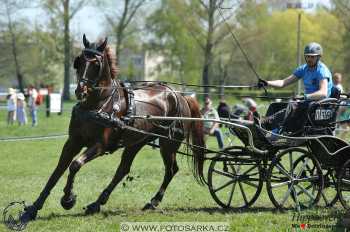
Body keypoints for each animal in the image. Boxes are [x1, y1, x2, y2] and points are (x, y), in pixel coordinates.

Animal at [19, 35, 205, 223]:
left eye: (96, 64)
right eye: (79, 61)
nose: (80, 91)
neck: (98, 104)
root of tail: (180, 95)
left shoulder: (100, 145)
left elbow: (75, 164)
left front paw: (68, 199)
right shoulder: (73, 142)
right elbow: (57, 171)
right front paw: (33, 208)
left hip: (168, 143)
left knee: (171, 170)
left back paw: (153, 201)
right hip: (137, 142)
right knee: (123, 169)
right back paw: (97, 203)